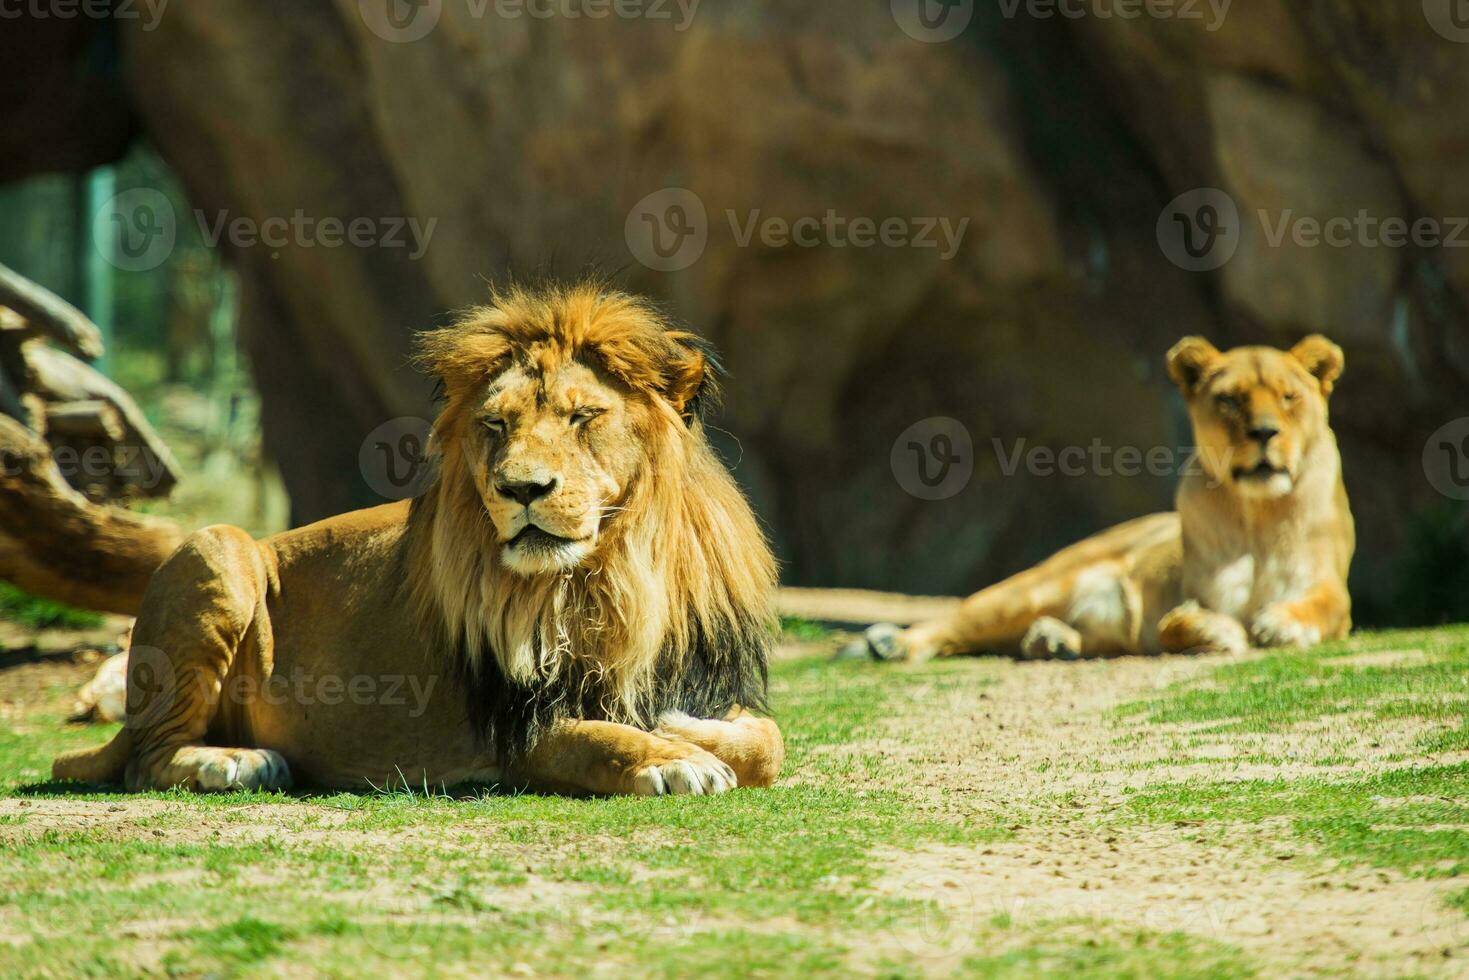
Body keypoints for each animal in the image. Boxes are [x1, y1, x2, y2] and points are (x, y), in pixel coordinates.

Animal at [53, 283, 787, 799]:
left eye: (584, 416)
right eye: (495, 424)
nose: (520, 488)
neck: (609, 575)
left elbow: (768, 741)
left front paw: (685, 728)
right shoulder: (518, 727)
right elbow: (601, 736)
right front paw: (674, 755)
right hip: (216, 548)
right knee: (145, 761)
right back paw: (233, 762)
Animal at [857, 333, 1351, 664]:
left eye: (1289, 397)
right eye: (1230, 400)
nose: (1265, 432)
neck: (1258, 513)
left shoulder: (1331, 589)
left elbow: (1322, 606)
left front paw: (1281, 623)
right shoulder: (1188, 594)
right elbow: (1173, 624)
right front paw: (1219, 631)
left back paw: (1051, 640)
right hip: (1036, 586)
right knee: (959, 621)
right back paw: (891, 642)